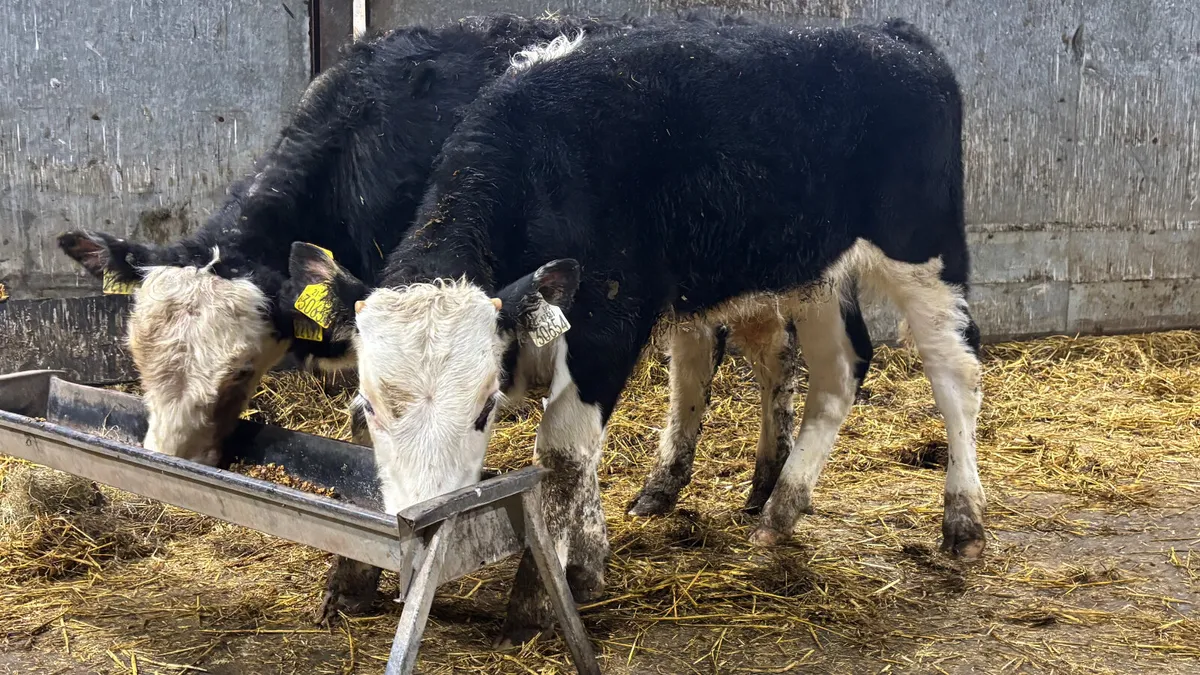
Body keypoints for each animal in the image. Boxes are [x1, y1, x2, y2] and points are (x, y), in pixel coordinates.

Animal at [281, 18, 986, 645]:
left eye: (484, 410)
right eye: (372, 406)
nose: (422, 529)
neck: (545, 163)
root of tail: (892, 35)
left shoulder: (606, 331)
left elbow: (562, 457)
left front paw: (537, 600)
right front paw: (353, 581)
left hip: (924, 247)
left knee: (956, 370)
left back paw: (963, 520)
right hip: (812, 270)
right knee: (839, 370)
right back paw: (782, 507)